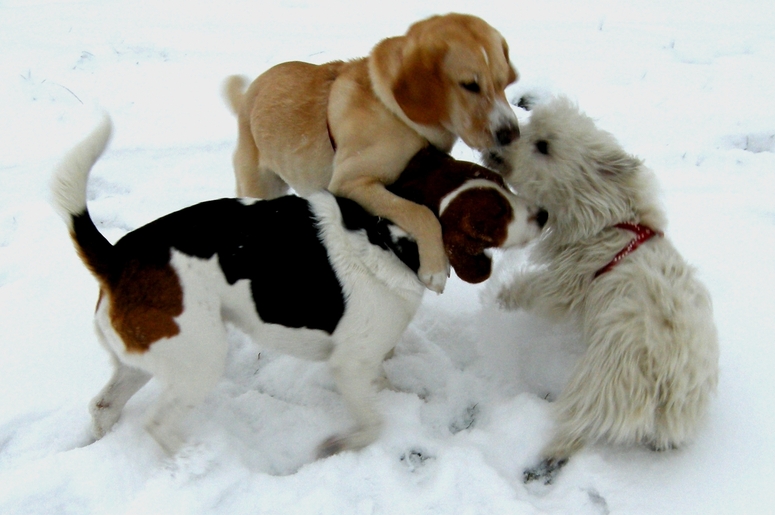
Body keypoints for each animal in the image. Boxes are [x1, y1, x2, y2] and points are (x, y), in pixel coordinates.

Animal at [224, 13, 520, 294]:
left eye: (502, 82)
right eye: (469, 85)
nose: (511, 134)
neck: (396, 113)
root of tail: (250, 92)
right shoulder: (351, 182)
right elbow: (419, 212)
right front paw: (434, 269)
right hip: (259, 186)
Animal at [484, 97, 720, 484]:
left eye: (543, 146)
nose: (496, 144)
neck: (610, 216)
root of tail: (671, 384)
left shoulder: (571, 278)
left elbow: (538, 289)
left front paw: (502, 297)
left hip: (604, 381)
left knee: (577, 427)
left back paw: (543, 455)